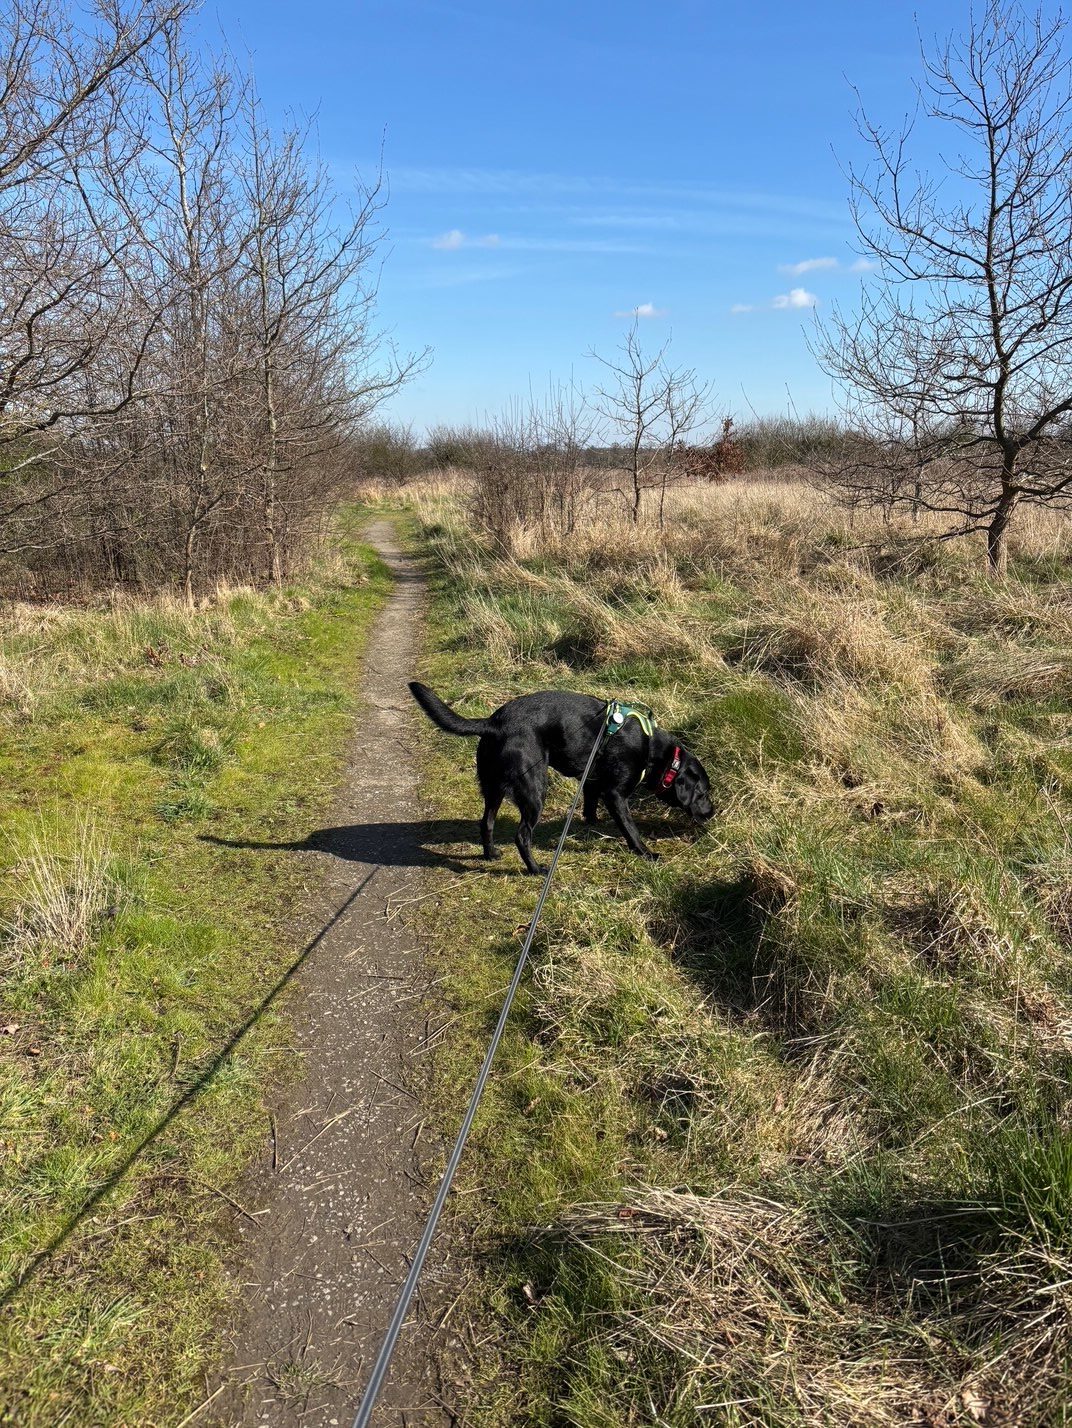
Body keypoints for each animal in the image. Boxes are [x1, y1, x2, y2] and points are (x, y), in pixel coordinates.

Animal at [408, 682, 714, 874]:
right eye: (704, 793)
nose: (712, 812)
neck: (655, 752)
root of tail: (493, 723)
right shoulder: (615, 794)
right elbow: (631, 829)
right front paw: (645, 852)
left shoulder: (592, 783)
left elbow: (590, 809)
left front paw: (591, 826)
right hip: (534, 790)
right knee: (522, 836)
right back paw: (535, 869)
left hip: (493, 788)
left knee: (486, 822)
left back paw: (490, 854)